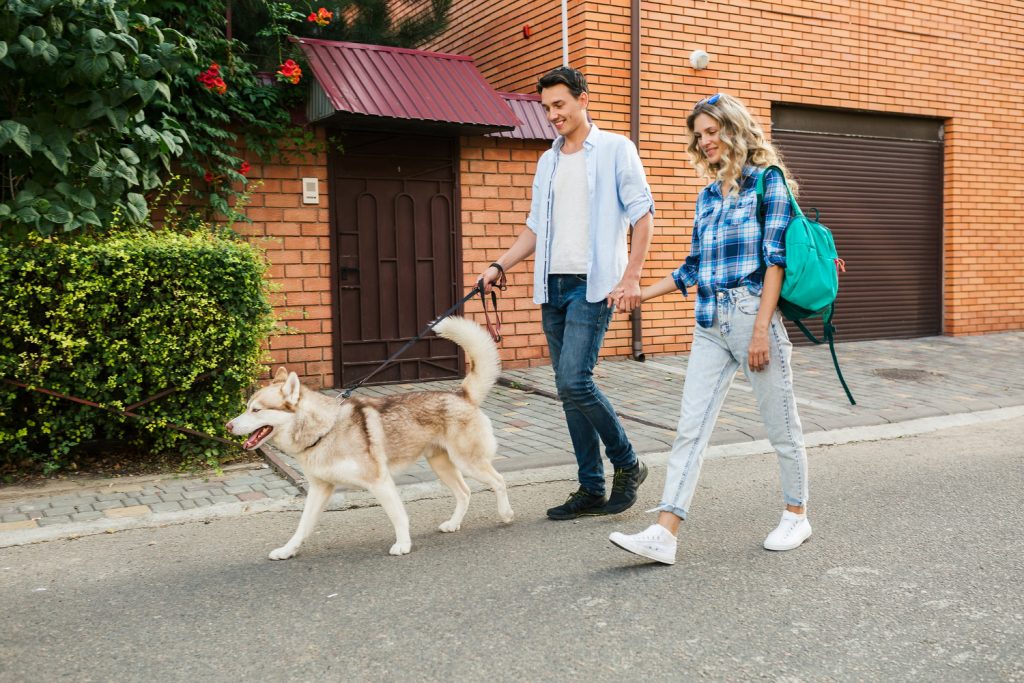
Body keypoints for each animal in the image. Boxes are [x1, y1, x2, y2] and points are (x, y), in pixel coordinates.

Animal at [224, 317, 512, 557]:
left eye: (256, 410)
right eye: (246, 406)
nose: (227, 426)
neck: (326, 430)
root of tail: (461, 394)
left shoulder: (380, 481)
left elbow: (398, 516)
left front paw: (403, 544)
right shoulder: (319, 489)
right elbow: (302, 526)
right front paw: (287, 550)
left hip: (468, 463)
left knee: (499, 481)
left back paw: (506, 513)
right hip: (442, 465)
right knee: (464, 493)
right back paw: (453, 524)